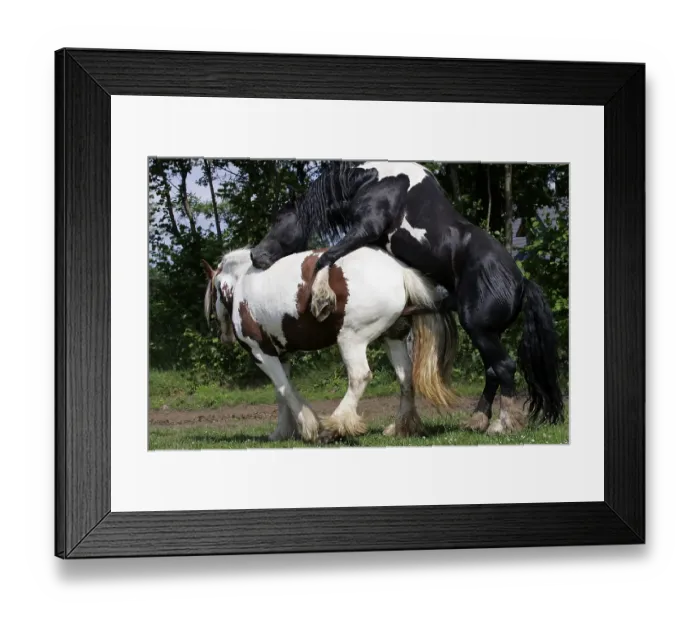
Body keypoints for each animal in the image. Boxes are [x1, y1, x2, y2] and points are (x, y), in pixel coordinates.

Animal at [201, 244, 459, 443]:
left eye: (213, 293)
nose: (224, 337)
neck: (243, 284)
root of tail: (399, 270)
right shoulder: (281, 355)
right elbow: (280, 392)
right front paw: (281, 432)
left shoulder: (261, 353)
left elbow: (285, 389)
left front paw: (309, 427)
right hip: (392, 338)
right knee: (405, 378)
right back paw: (400, 427)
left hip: (351, 339)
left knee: (360, 376)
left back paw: (336, 426)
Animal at [249, 160, 565, 435]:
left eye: (279, 219)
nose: (255, 255)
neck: (376, 180)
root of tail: (521, 283)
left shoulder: (367, 229)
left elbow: (328, 255)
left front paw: (320, 296)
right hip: (485, 334)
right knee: (492, 371)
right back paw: (477, 420)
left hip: (480, 330)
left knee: (504, 367)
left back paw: (502, 424)